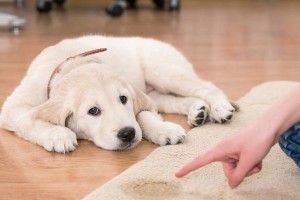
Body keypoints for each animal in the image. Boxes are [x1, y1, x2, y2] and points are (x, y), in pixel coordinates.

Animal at [0, 35, 239, 152]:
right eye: (93, 111)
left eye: (123, 99)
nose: (127, 134)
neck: (72, 64)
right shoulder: (13, 107)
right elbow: (29, 119)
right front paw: (58, 134)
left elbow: (142, 115)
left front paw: (163, 130)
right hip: (157, 91)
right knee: (174, 100)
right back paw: (198, 111)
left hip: (163, 71)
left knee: (206, 86)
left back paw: (220, 108)